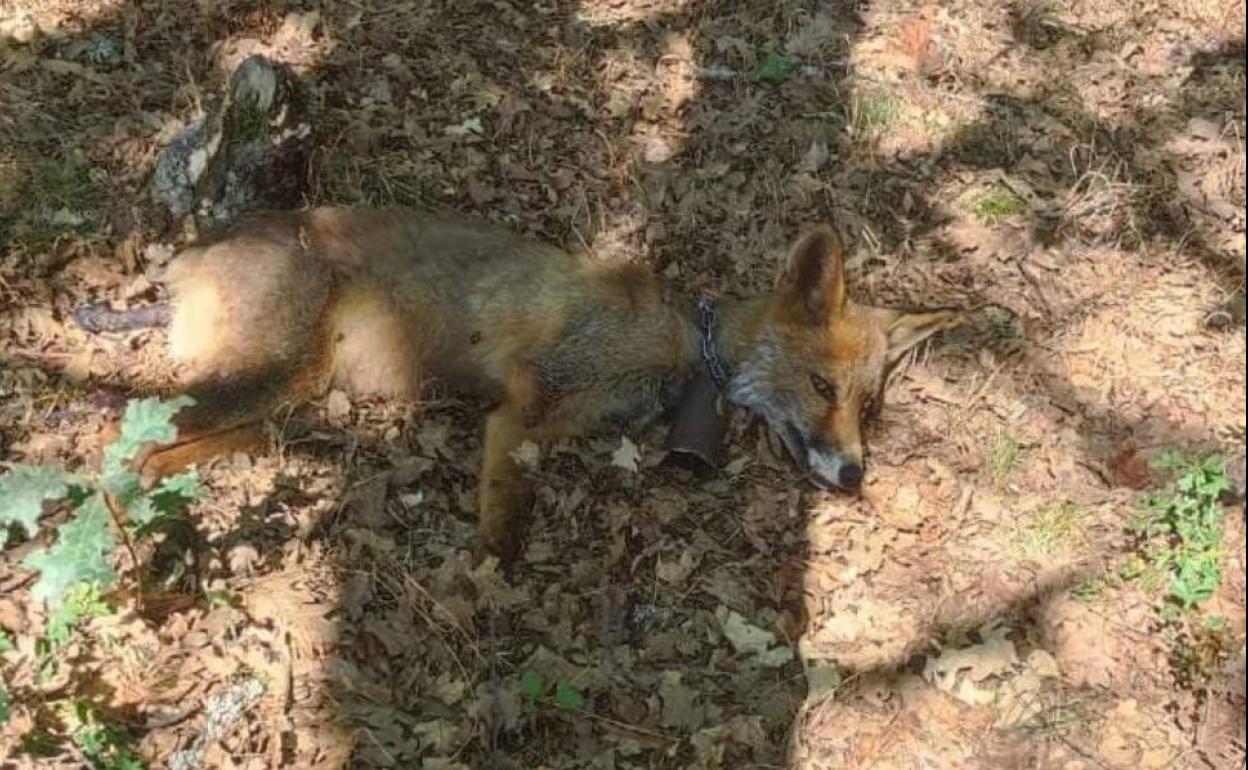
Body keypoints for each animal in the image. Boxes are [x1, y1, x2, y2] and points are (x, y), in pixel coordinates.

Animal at [104, 207, 963, 556]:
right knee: (132, 447)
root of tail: (192, 252)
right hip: (280, 377)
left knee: (176, 443)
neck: (686, 346)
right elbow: (508, 508)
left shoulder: (554, 417)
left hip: (293, 398)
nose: (854, 474)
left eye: (869, 405)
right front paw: (493, 571)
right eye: (822, 389)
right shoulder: (527, 397)